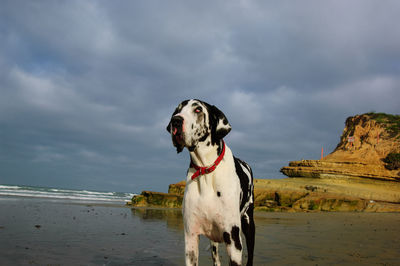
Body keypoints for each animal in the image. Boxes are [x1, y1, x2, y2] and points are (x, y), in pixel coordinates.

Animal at [166, 99, 256, 266]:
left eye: (198, 110)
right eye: (178, 109)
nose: (175, 120)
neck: (206, 169)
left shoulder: (233, 240)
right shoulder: (191, 238)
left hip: (248, 224)